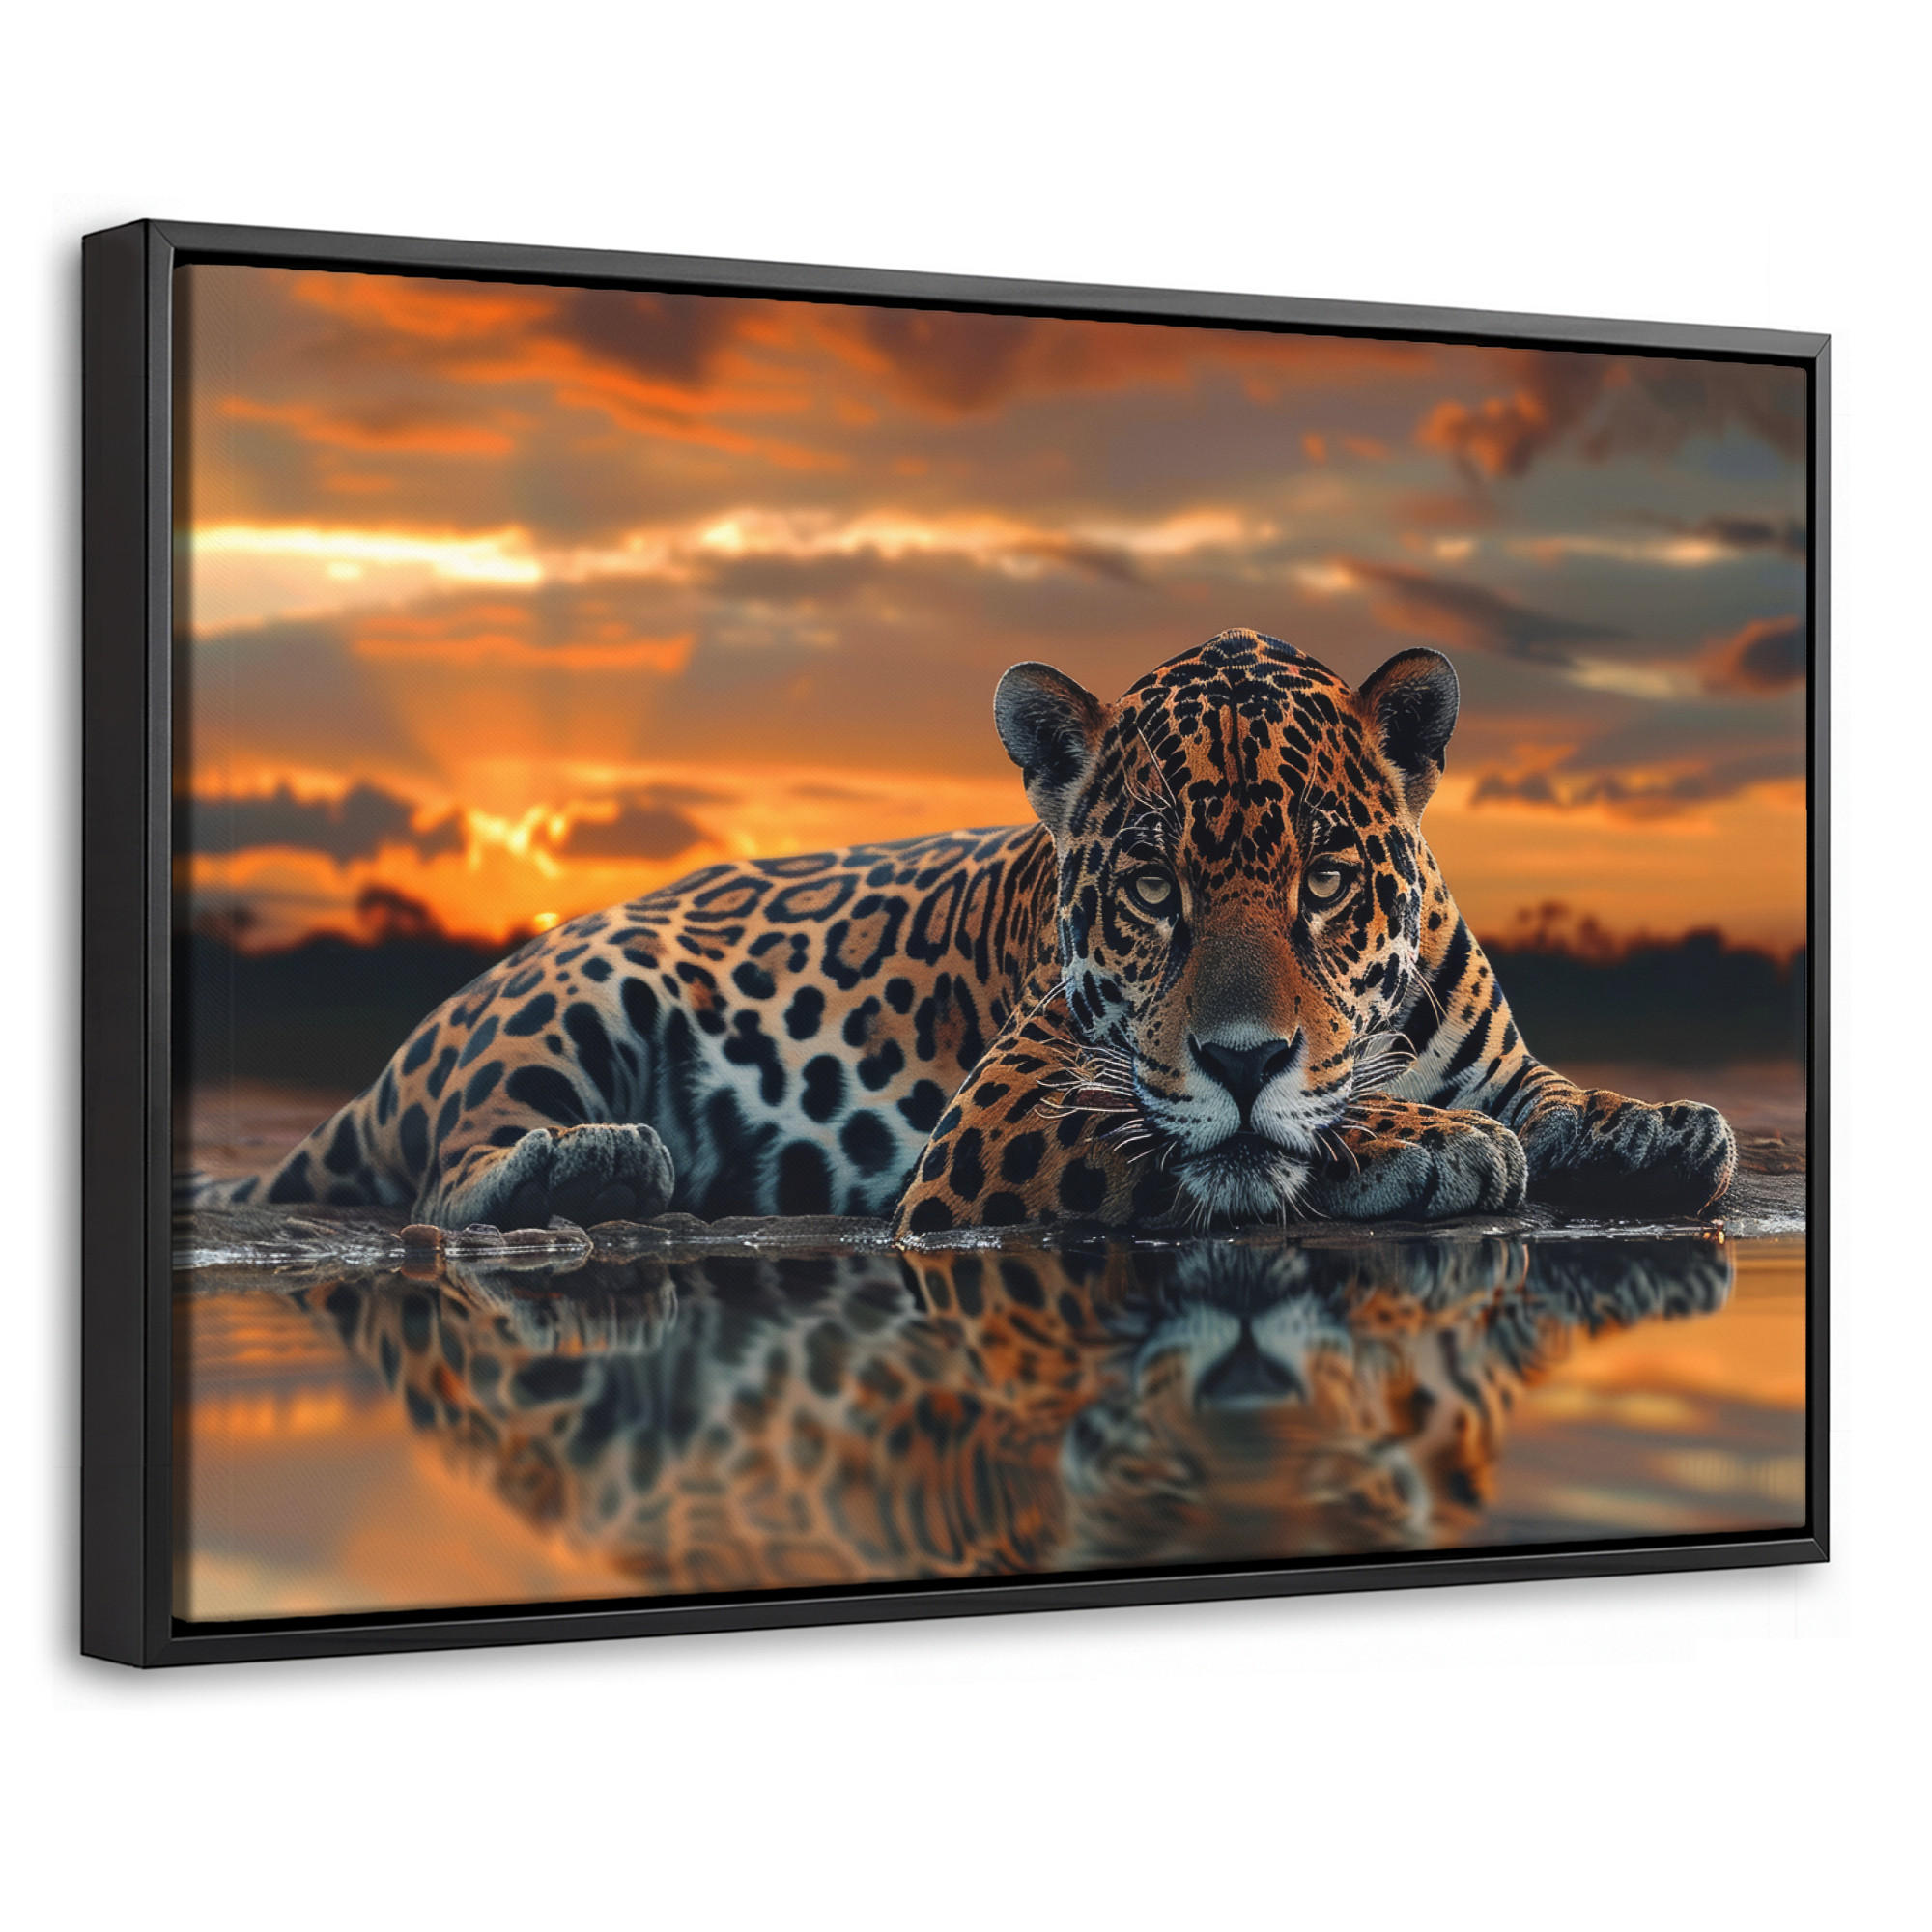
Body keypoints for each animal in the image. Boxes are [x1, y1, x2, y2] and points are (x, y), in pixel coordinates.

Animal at [190, 628, 1737, 1235]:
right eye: (1151, 887)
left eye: (1325, 881)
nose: (1243, 1054)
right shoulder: (1007, 1112)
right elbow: (1234, 1139)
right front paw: (1426, 1145)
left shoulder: (1495, 1055)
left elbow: (1554, 1096)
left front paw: (1656, 1127)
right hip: (574, 994)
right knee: (443, 1180)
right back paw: (591, 1164)